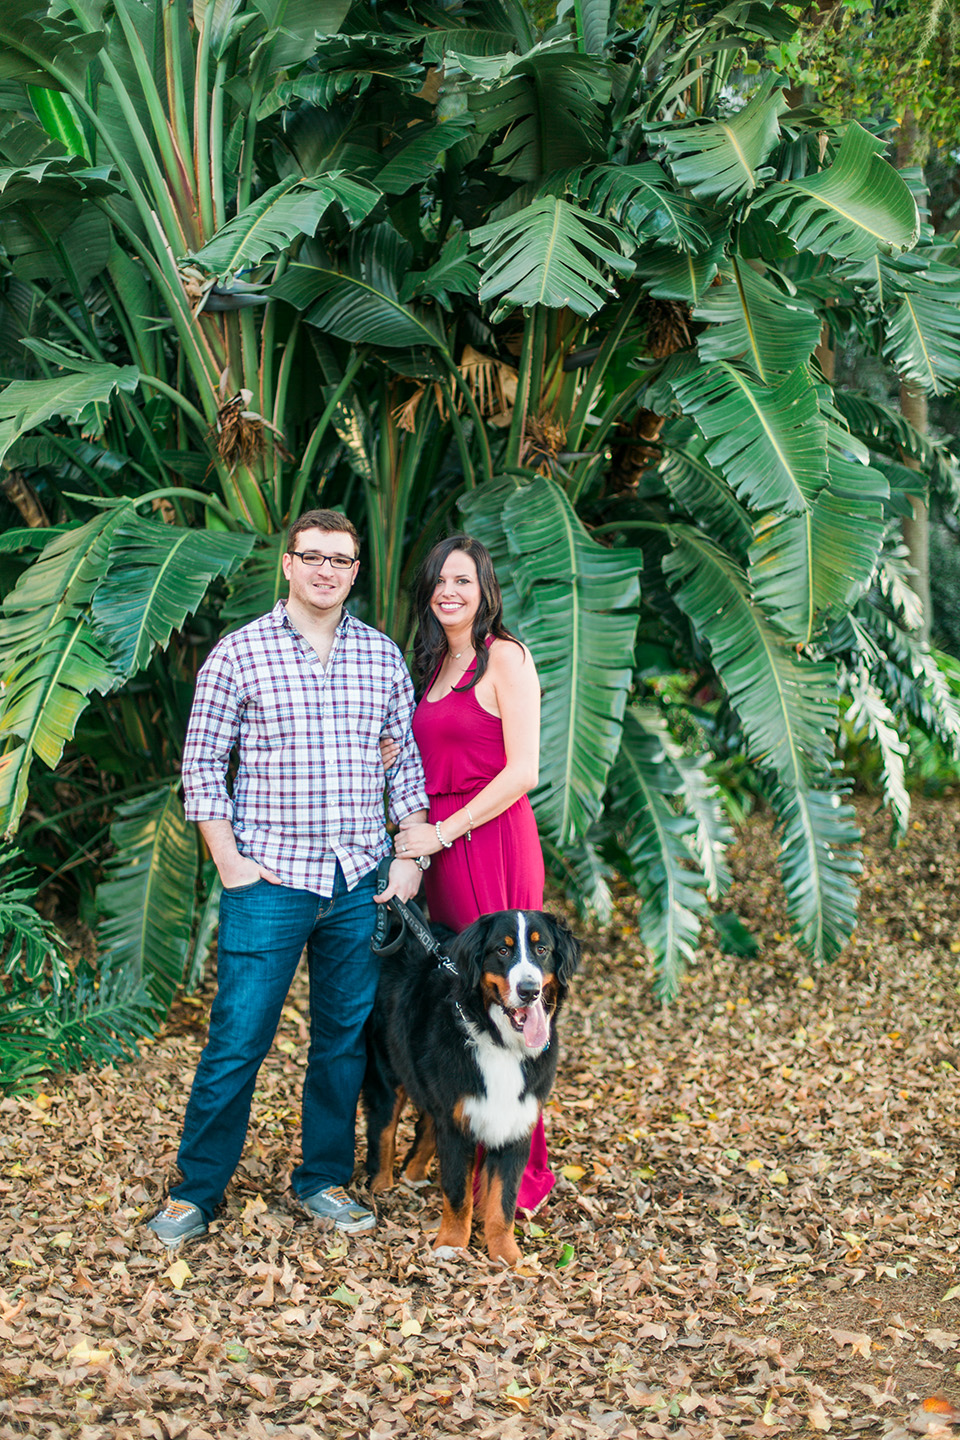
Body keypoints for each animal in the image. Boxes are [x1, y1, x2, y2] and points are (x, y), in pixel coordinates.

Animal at [364, 910, 581, 1261]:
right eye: (503, 950)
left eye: (542, 950)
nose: (529, 990)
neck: (502, 1044)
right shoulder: (458, 1125)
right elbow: (457, 1191)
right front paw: (450, 1244)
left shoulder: (514, 1124)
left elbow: (503, 1200)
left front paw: (507, 1254)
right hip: (388, 1073)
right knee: (383, 1129)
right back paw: (380, 1186)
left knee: (427, 1124)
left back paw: (413, 1173)